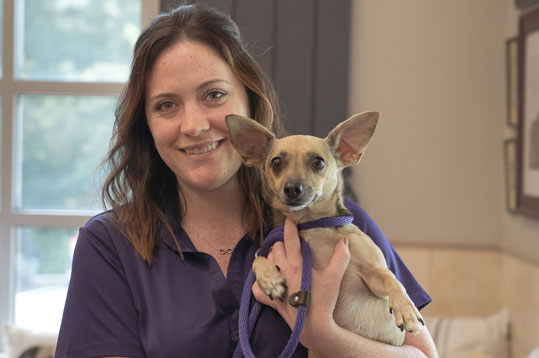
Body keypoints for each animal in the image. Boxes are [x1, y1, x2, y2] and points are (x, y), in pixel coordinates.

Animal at [226, 110, 424, 348]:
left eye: (318, 162)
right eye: (276, 162)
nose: (292, 188)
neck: (312, 224)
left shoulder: (373, 272)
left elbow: (392, 280)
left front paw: (406, 309)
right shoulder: (270, 247)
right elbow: (258, 257)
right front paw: (270, 280)